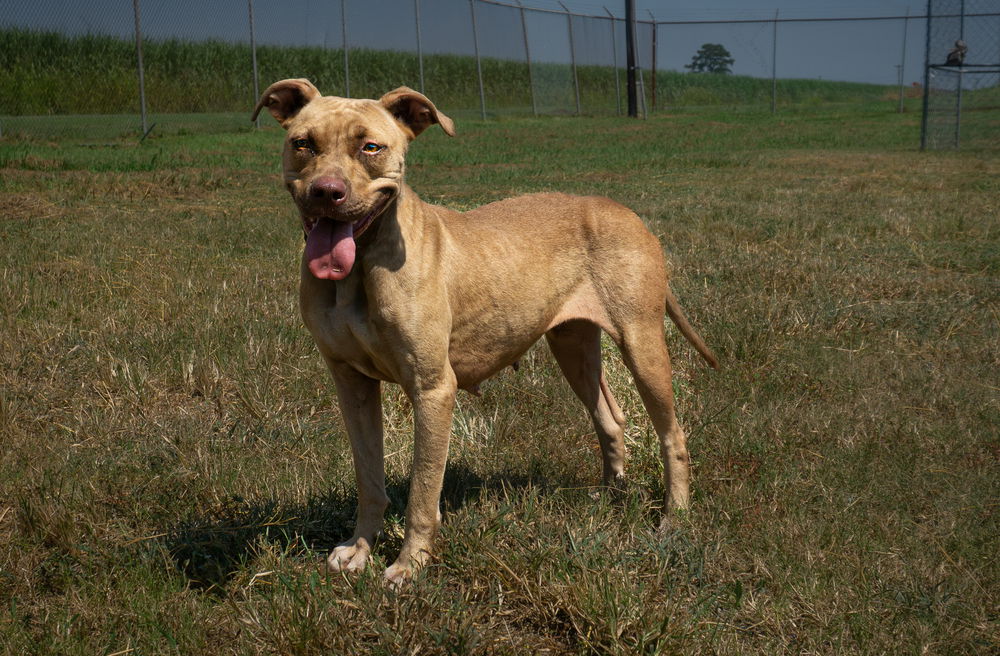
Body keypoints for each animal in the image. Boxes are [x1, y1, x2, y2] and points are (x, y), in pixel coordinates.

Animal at [254, 79, 716, 588]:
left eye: (371, 147)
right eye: (303, 143)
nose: (327, 191)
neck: (361, 268)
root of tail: (627, 212)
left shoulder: (433, 389)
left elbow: (423, 491)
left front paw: (409, 564)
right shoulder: (351, 383)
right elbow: (369, 478)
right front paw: (359, 549)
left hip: (641, 343)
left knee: (673, 435)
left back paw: (674, 517)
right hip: (573, 347)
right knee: (609, 419)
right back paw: (611, 493)